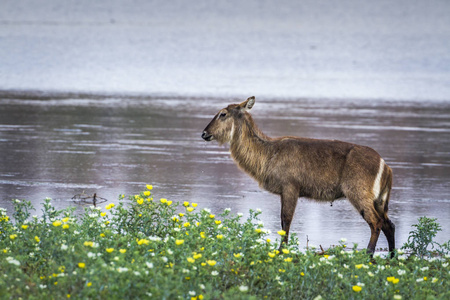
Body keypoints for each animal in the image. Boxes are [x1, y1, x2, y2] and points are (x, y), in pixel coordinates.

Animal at [202, 96, 396, 255]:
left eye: (223, 114)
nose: (204, 133)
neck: (268, 153)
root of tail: (385, 165)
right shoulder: (284, 191)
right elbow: (282, 222)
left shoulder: (290, 187)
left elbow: (285, 220)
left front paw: (282, 250)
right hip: (379, 200)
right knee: (389, 224)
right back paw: (392, 256)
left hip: (358, 194)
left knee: (376, 222)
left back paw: (368, 254)